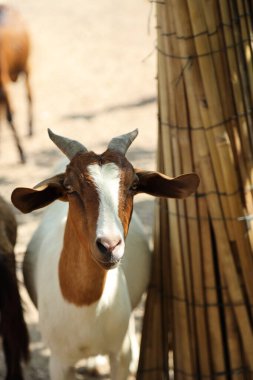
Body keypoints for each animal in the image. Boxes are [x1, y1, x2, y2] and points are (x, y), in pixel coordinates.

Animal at [10, 129, 199, 378]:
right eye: (69, 188)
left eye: (134, 186)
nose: (109, 245)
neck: (83, 302)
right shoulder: (59, 361)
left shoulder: (120, 354)